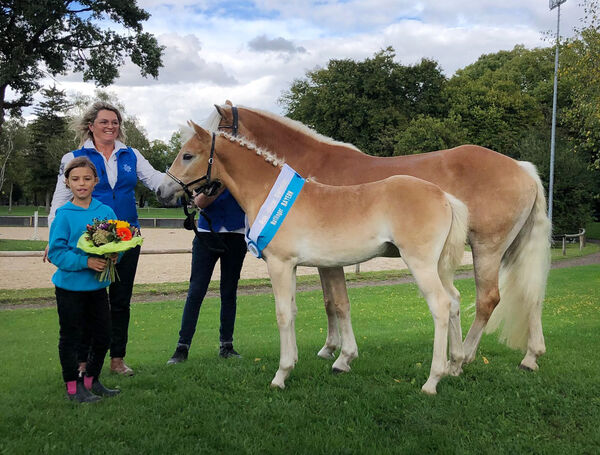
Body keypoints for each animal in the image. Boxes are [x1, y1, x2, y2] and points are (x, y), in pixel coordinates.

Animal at [157, 124, 472, 396]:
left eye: (187, 155)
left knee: (441, 306)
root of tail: (444, 196)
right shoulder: (294, 267)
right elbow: (296, 310)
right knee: (454, 300)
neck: (269, 192)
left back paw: (432, 380)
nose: (161, 191)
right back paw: (455, 365)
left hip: (421, 265)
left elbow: (283, 314)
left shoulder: (280, 264)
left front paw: (281, 375)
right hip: (439, 267)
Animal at [209, 102, 552, 370]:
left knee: (487, 300)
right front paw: (330, 348)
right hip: (512, 250)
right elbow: (328, 302)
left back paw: (464, 357)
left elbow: (336, 302)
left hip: (486, 249)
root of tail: (522, 168)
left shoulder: (329, 260)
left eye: (218, 135)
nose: (202, 197)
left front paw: (341, 355)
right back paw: (531, 356)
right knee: (532, 293)